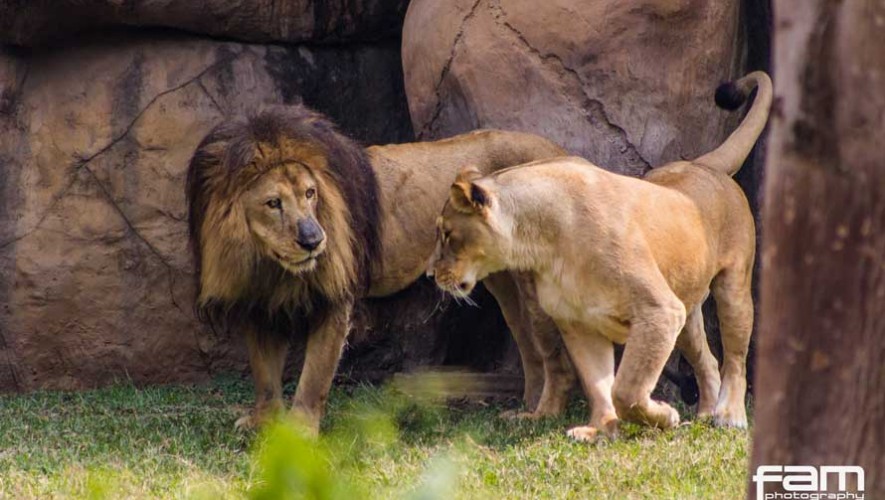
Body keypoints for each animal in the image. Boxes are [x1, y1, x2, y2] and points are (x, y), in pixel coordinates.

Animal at [186, 105, 575, 432]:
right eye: (273, 203)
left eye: (310, 194)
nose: (314, 240)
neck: (266, 262)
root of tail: (558, 151)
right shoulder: (260, 304)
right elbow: (265, 376)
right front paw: (262, 423)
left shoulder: (335, 297)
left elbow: (313, 377)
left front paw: (300, 432)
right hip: (504, 282)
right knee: (528, 342)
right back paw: (526, 407)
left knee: (553, 354)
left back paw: (544, 414)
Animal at [427, 71, 772, 440]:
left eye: (447, 234)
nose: (431, 275)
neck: (543, 243)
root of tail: (702, 164)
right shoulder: (579, 323)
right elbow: (599, 383)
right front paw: (601, 429)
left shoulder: (658, 311)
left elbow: (627, 387)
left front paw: (663, 416)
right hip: (686, 311)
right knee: (707, 360)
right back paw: (706, 413)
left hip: (731, 289)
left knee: (735, 357)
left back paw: (729, 416)